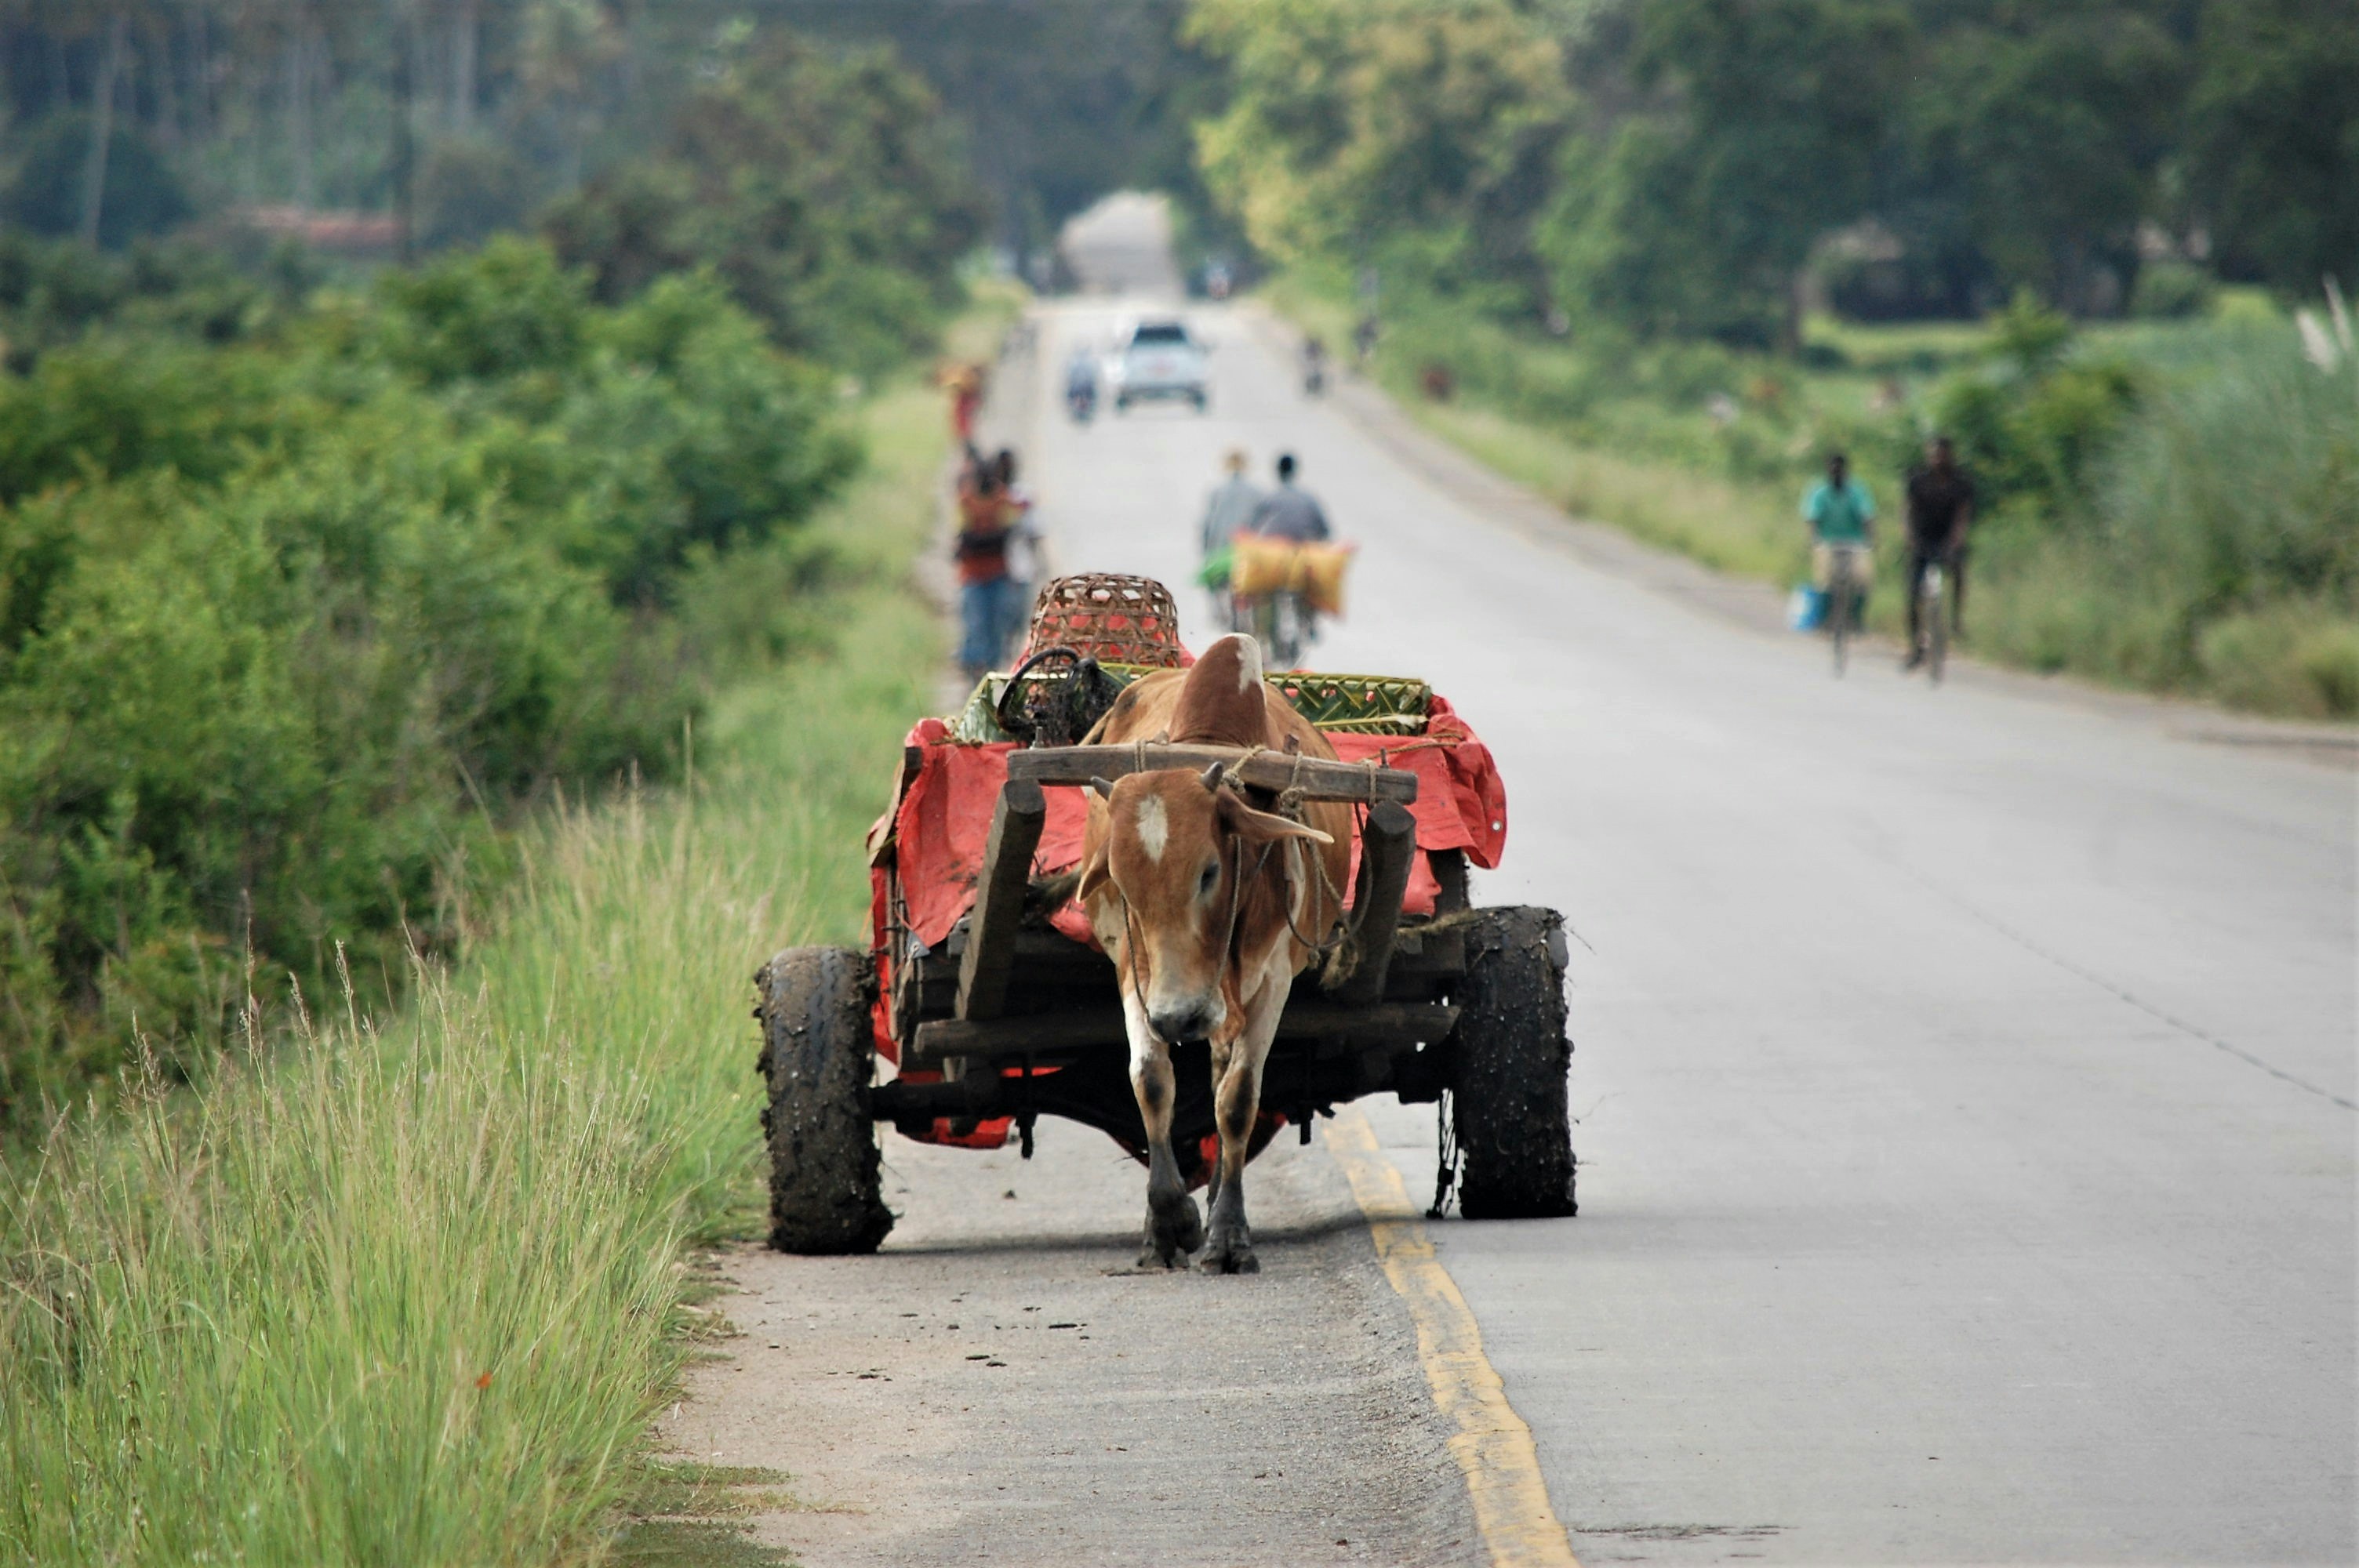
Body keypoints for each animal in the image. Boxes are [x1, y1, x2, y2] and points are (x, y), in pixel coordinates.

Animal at [1074, 634, 1354, 1273]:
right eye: (1122, 882)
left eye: (1209, 872)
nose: (1181, 1018)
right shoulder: (1134, 970)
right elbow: (1151, 1080)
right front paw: (1167, 1222)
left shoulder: (1273, 979)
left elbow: (1238, 1100)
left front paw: (1227, 1235)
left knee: (1227, 1076)